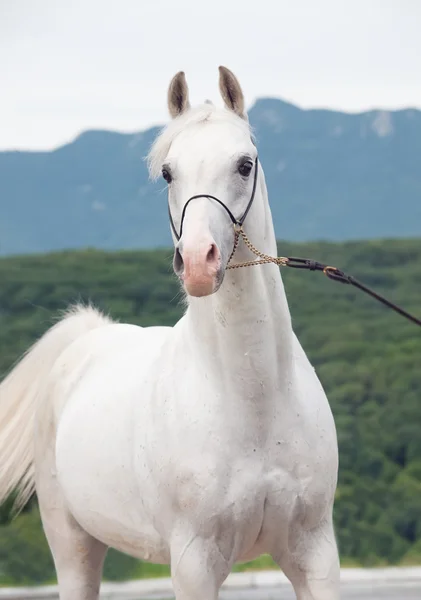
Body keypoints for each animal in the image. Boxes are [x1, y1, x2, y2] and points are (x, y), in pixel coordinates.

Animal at [0, 68, 338, 596]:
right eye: (168, 173)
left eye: (244, 165)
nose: (198, 262)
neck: (254, 404)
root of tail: (86, 341)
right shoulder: (195, 563)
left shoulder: (315, 552)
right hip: (72, 544)